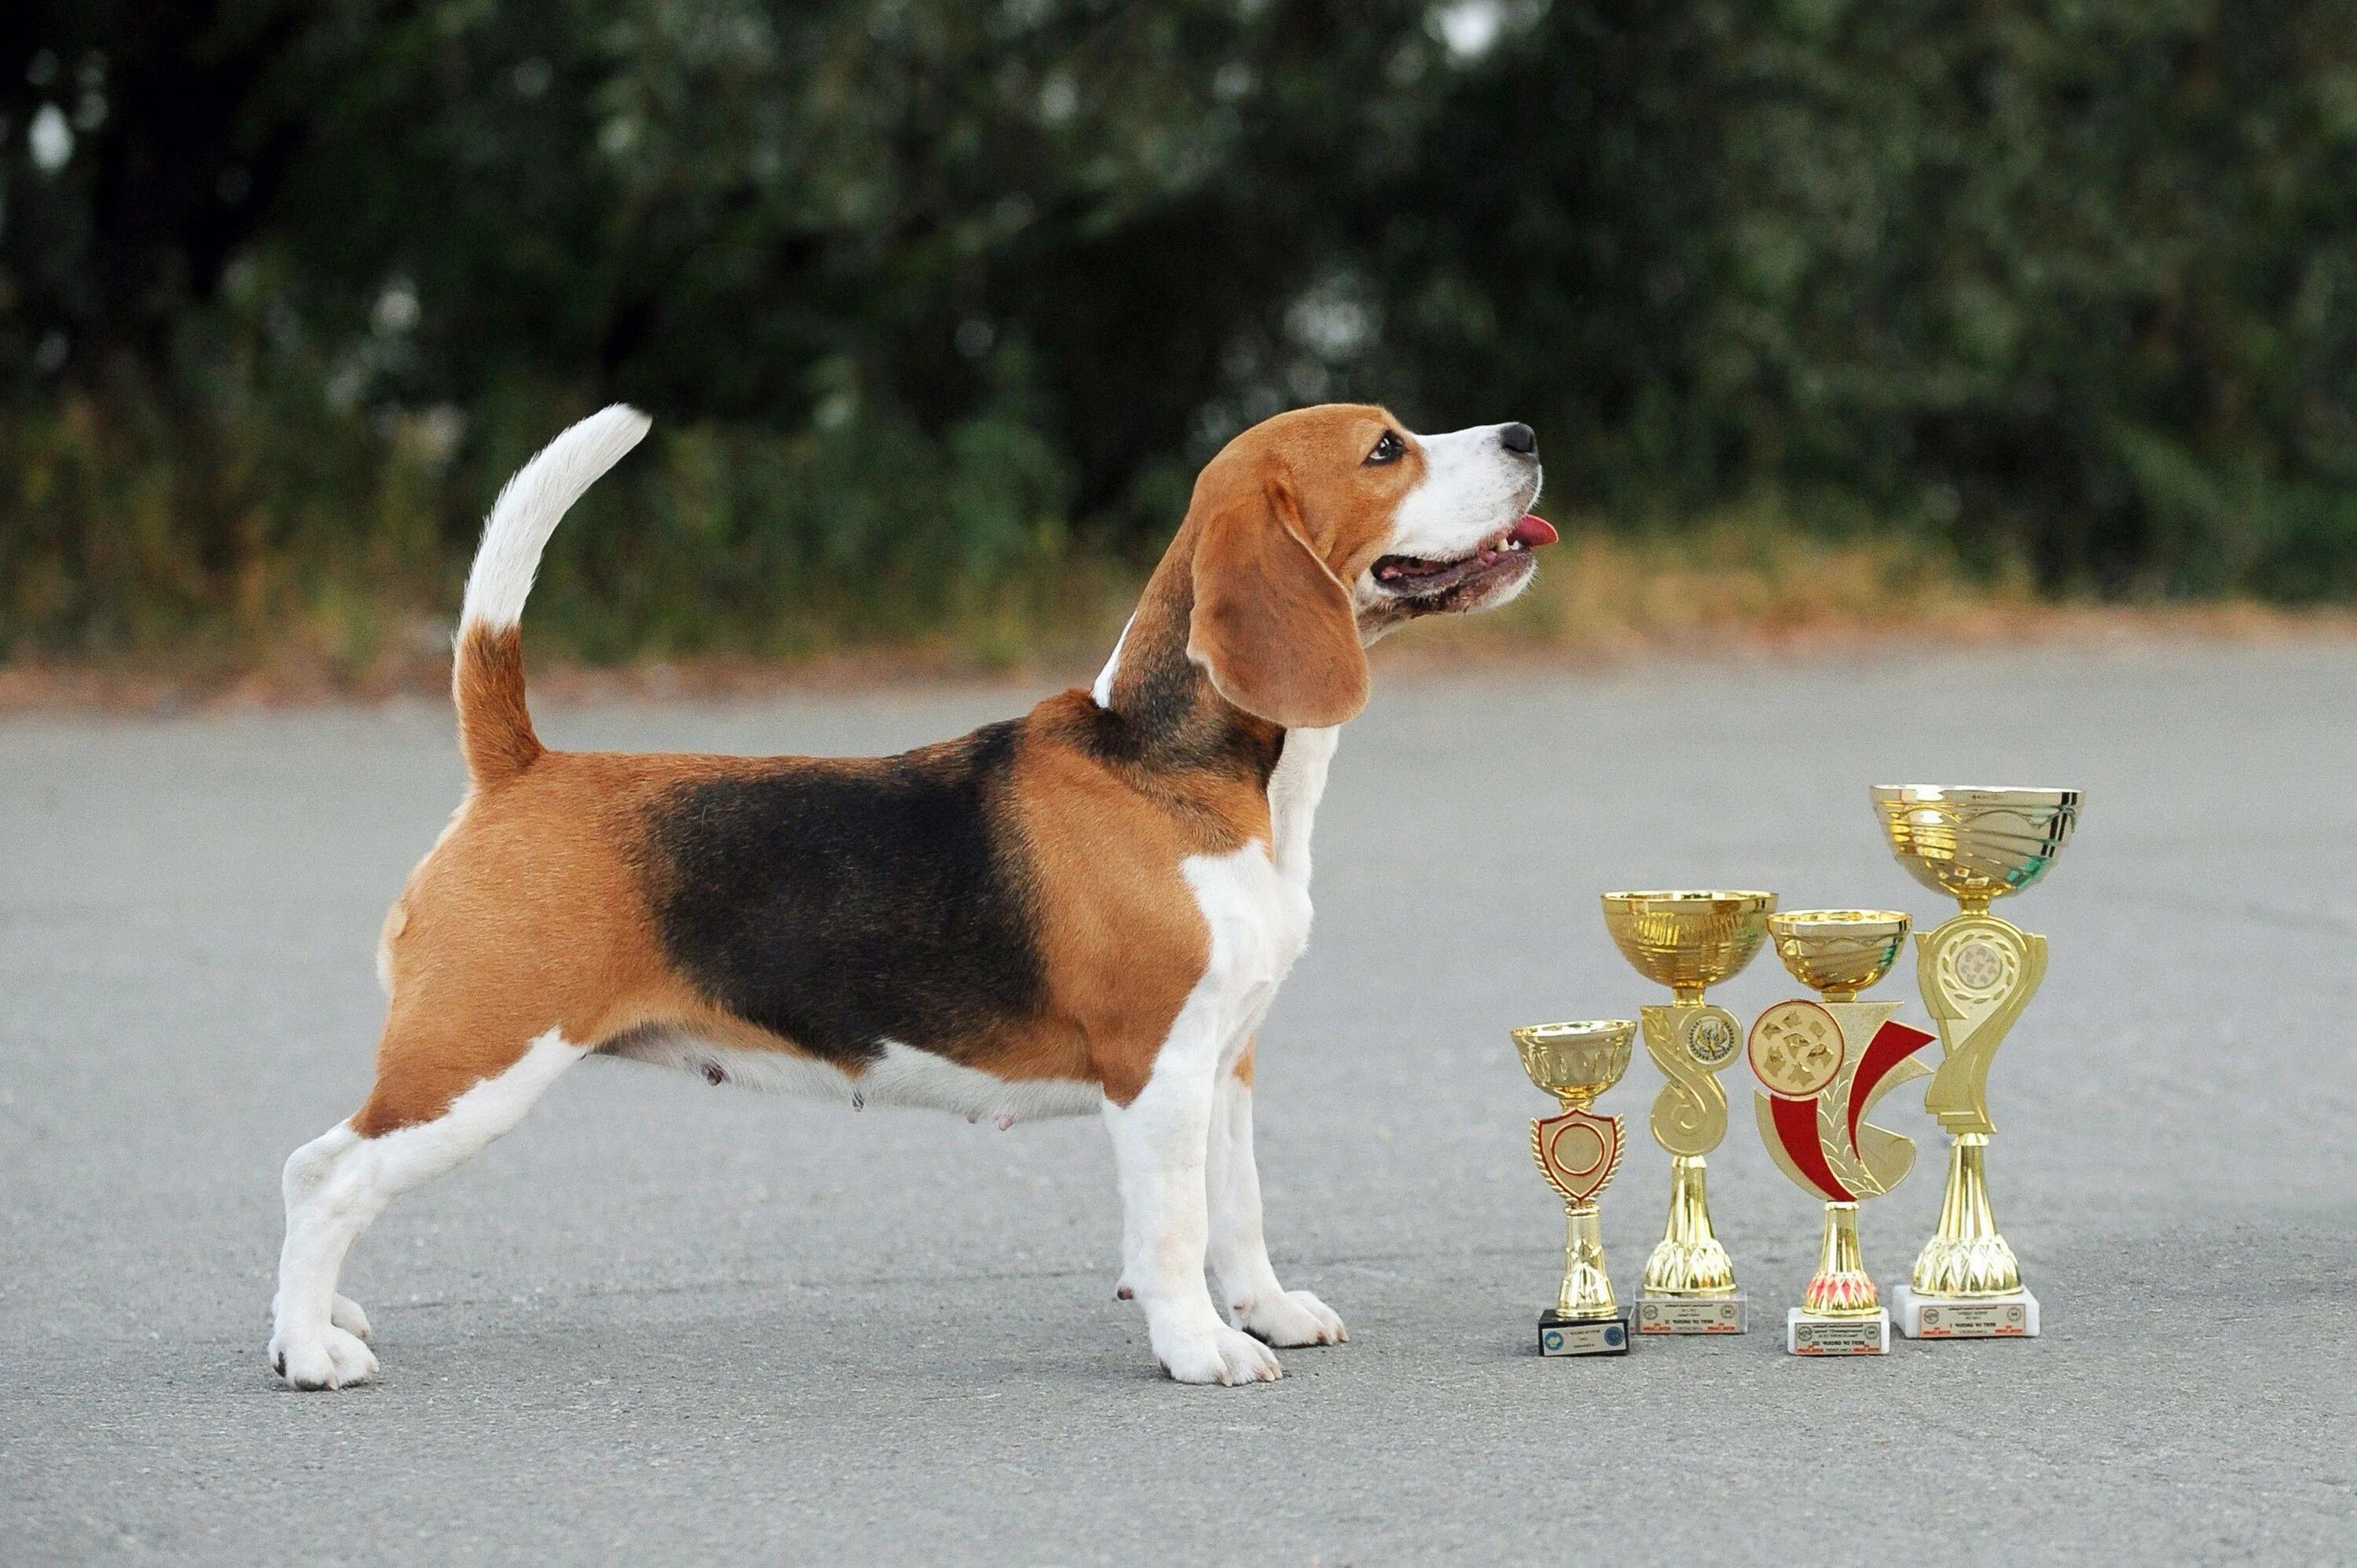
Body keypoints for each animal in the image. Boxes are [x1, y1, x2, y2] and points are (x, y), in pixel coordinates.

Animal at [271, 403, 1546, 1386]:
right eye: (1385, 449)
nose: (1526, 436)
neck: (1174, 759)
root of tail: (522, 765)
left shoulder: (1226, 1058)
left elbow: (1239, 1209)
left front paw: (1268, 1311)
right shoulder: (1159, 1070)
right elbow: (1175, 1229)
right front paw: (1203, 1350)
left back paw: (323, 1318)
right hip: (476, 1062)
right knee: (322, 1174)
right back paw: (311, 1349)